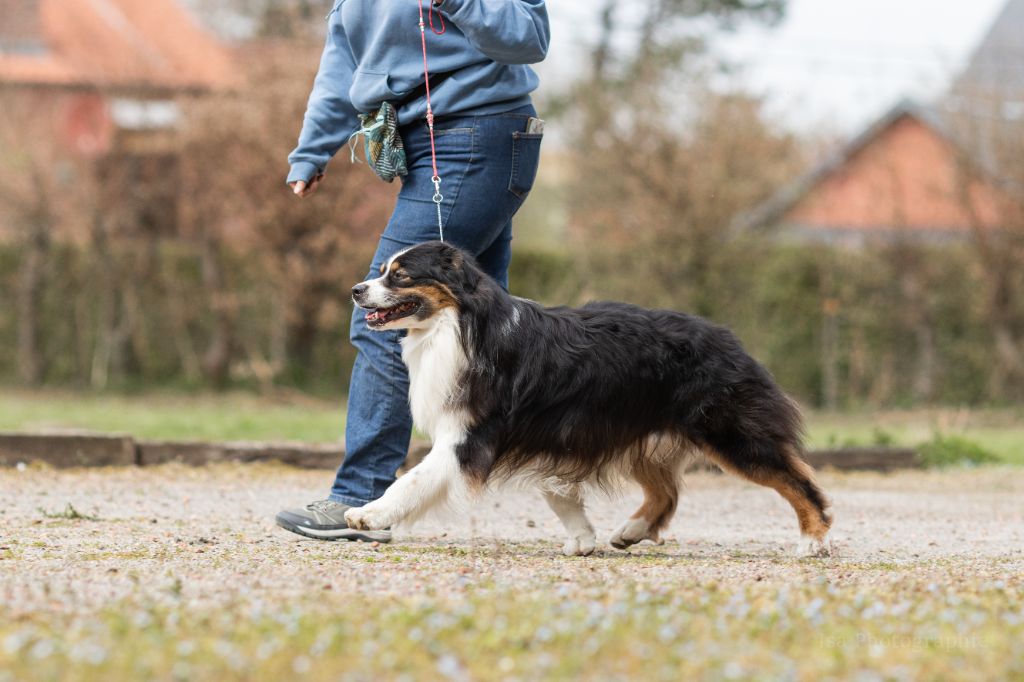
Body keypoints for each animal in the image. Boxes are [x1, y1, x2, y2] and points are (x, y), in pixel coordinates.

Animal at [344, 241, 831, 557]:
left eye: (400, 275)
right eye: (383, 270)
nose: (356, 289)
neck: (459, 323)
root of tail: (730, 339)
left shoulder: (472, 437)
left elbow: (413, 480)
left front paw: (370, 515)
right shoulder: (548, 432)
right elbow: (556, 491)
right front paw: (582, 538)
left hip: (729, 430)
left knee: (796, 477)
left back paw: (814, 539)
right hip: (642, 431)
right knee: (666, 492)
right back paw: (629, 531)